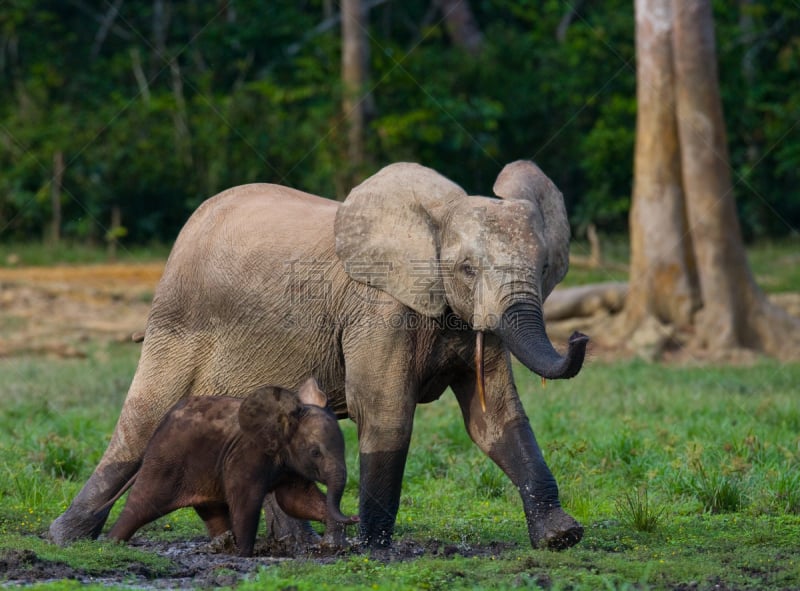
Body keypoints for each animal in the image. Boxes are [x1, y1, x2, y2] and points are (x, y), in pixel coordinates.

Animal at [104, 380, 358, 556]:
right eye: (315, 453)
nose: (355, 517)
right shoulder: (247, 454)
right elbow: (247, 500)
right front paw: (245, 555)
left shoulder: (289, 462)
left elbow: (297, 500)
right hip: (164, 462)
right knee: (141, 506)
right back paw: (110, 544)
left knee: (214, 513)